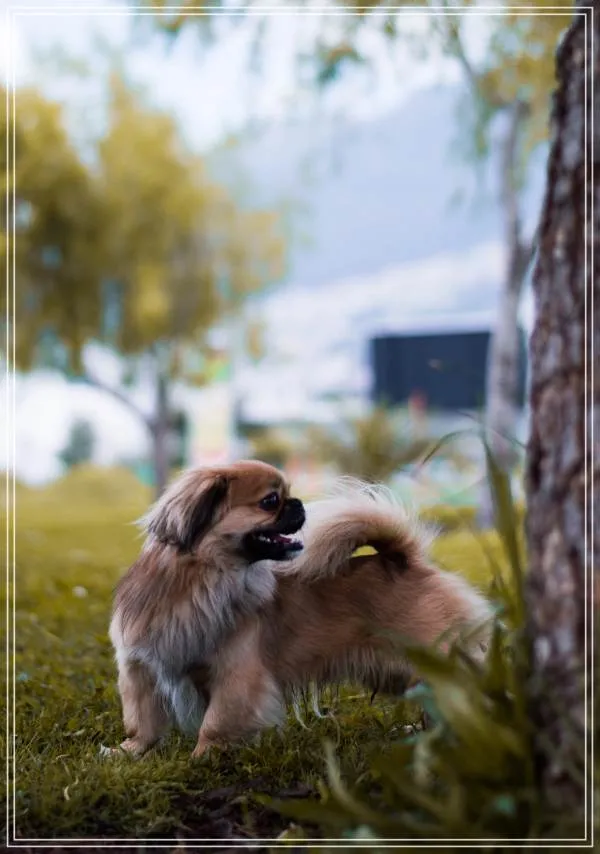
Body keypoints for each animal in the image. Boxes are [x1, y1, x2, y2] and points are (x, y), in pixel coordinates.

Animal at [109, 460, 305, 756]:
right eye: (270, 501)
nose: (299, 503)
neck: (204, 580)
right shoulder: (139, 665)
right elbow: (140, 718)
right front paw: (131, 749)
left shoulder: (236, 670)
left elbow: (217, 720)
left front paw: (203, 755)